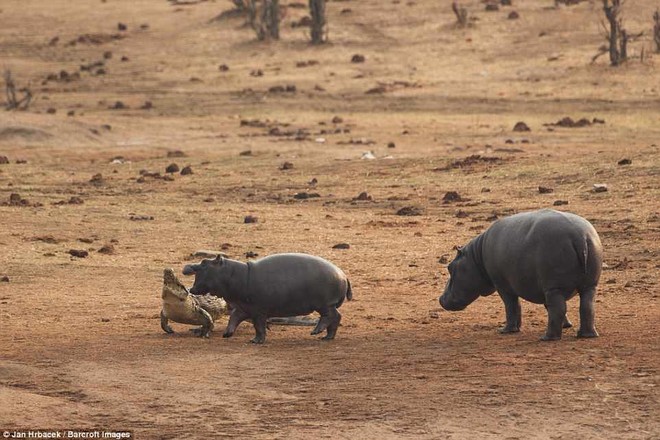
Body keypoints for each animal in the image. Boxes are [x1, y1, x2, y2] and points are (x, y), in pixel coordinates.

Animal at [183, 253, 354, 342]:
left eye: (204, 264)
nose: (190, 289)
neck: (233, 274)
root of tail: (343, 274)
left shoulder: (258, 310)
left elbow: (258, 326)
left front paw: (255, 341)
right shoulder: (242, 307)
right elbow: (234, 318)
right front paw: (227, 334)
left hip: (325, 304)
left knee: (331, 316)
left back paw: (316, 332)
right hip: (326, 304)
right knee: (334, 319)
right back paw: (327, 337)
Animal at [438, 209, 604, 340]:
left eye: (450, 267)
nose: (440, 298)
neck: (475, 257)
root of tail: (579, 237)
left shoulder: (503, 286)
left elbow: (511, 306)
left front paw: (506, 330)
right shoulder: (542, 286)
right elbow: (545, 306)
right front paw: (567, 325)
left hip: (554, 286)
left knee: (558, 308)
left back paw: (547, 338)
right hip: (588, 285)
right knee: (587, 306)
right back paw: (586, 335)